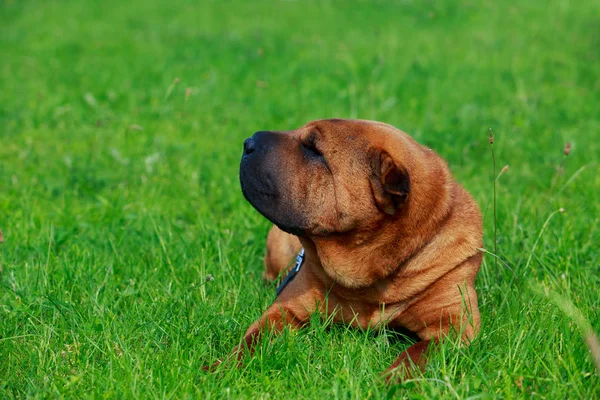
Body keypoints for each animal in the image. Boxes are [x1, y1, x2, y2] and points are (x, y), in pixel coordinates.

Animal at [213, 118, 480, 378]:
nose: (249, 142)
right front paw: (219, 370)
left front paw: (388, 382)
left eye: (314, 150)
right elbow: (252, 340)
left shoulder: (454, 325)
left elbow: (415, 355)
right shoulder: (286, 308)